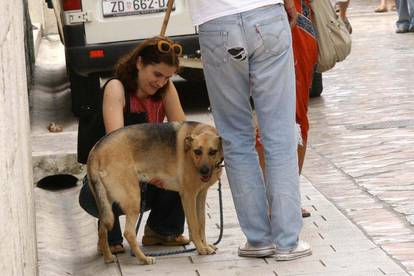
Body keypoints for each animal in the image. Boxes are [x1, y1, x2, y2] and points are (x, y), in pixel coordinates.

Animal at [86, 122, 223, 264]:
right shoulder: (188, 196)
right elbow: (195, 226)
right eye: (197, 151)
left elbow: (202, 223)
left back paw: (108, 257)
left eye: (213, 152)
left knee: (102, 231)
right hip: (134, 199)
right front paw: (201, 248)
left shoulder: (200, 195)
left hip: (107, 205)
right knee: (129, 233)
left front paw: (205, 246)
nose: (204, 171)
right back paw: (143, 259)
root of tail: (96, 150)